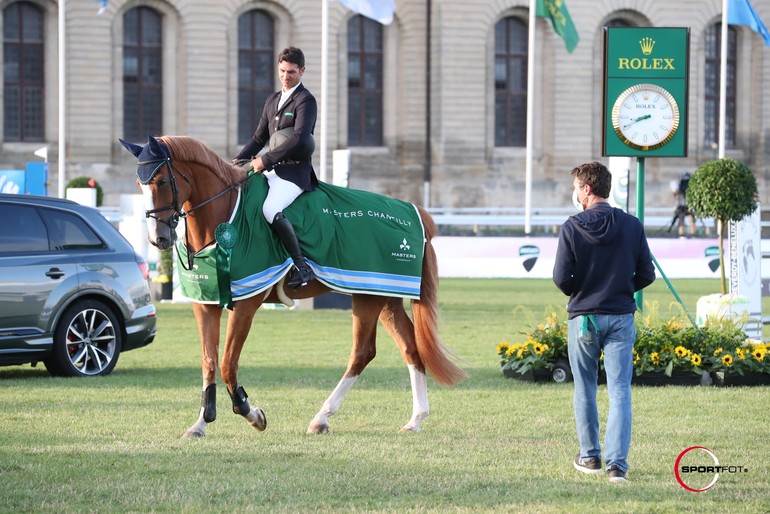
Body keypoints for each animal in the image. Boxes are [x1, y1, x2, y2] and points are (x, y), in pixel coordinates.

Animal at [123, 135, 464, 436]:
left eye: (161, 181)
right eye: (139, 184)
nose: (159, 239)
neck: (225, 215)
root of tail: (413, 211)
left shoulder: (246, 304)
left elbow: (227, 363)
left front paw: (251, 414)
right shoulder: (204, 305)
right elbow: (208, 362)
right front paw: (201, 422)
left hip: (368, 298)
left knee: (362, 353)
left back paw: (322, 417)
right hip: (383, 296)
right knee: (410, 348)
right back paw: (415, 419)